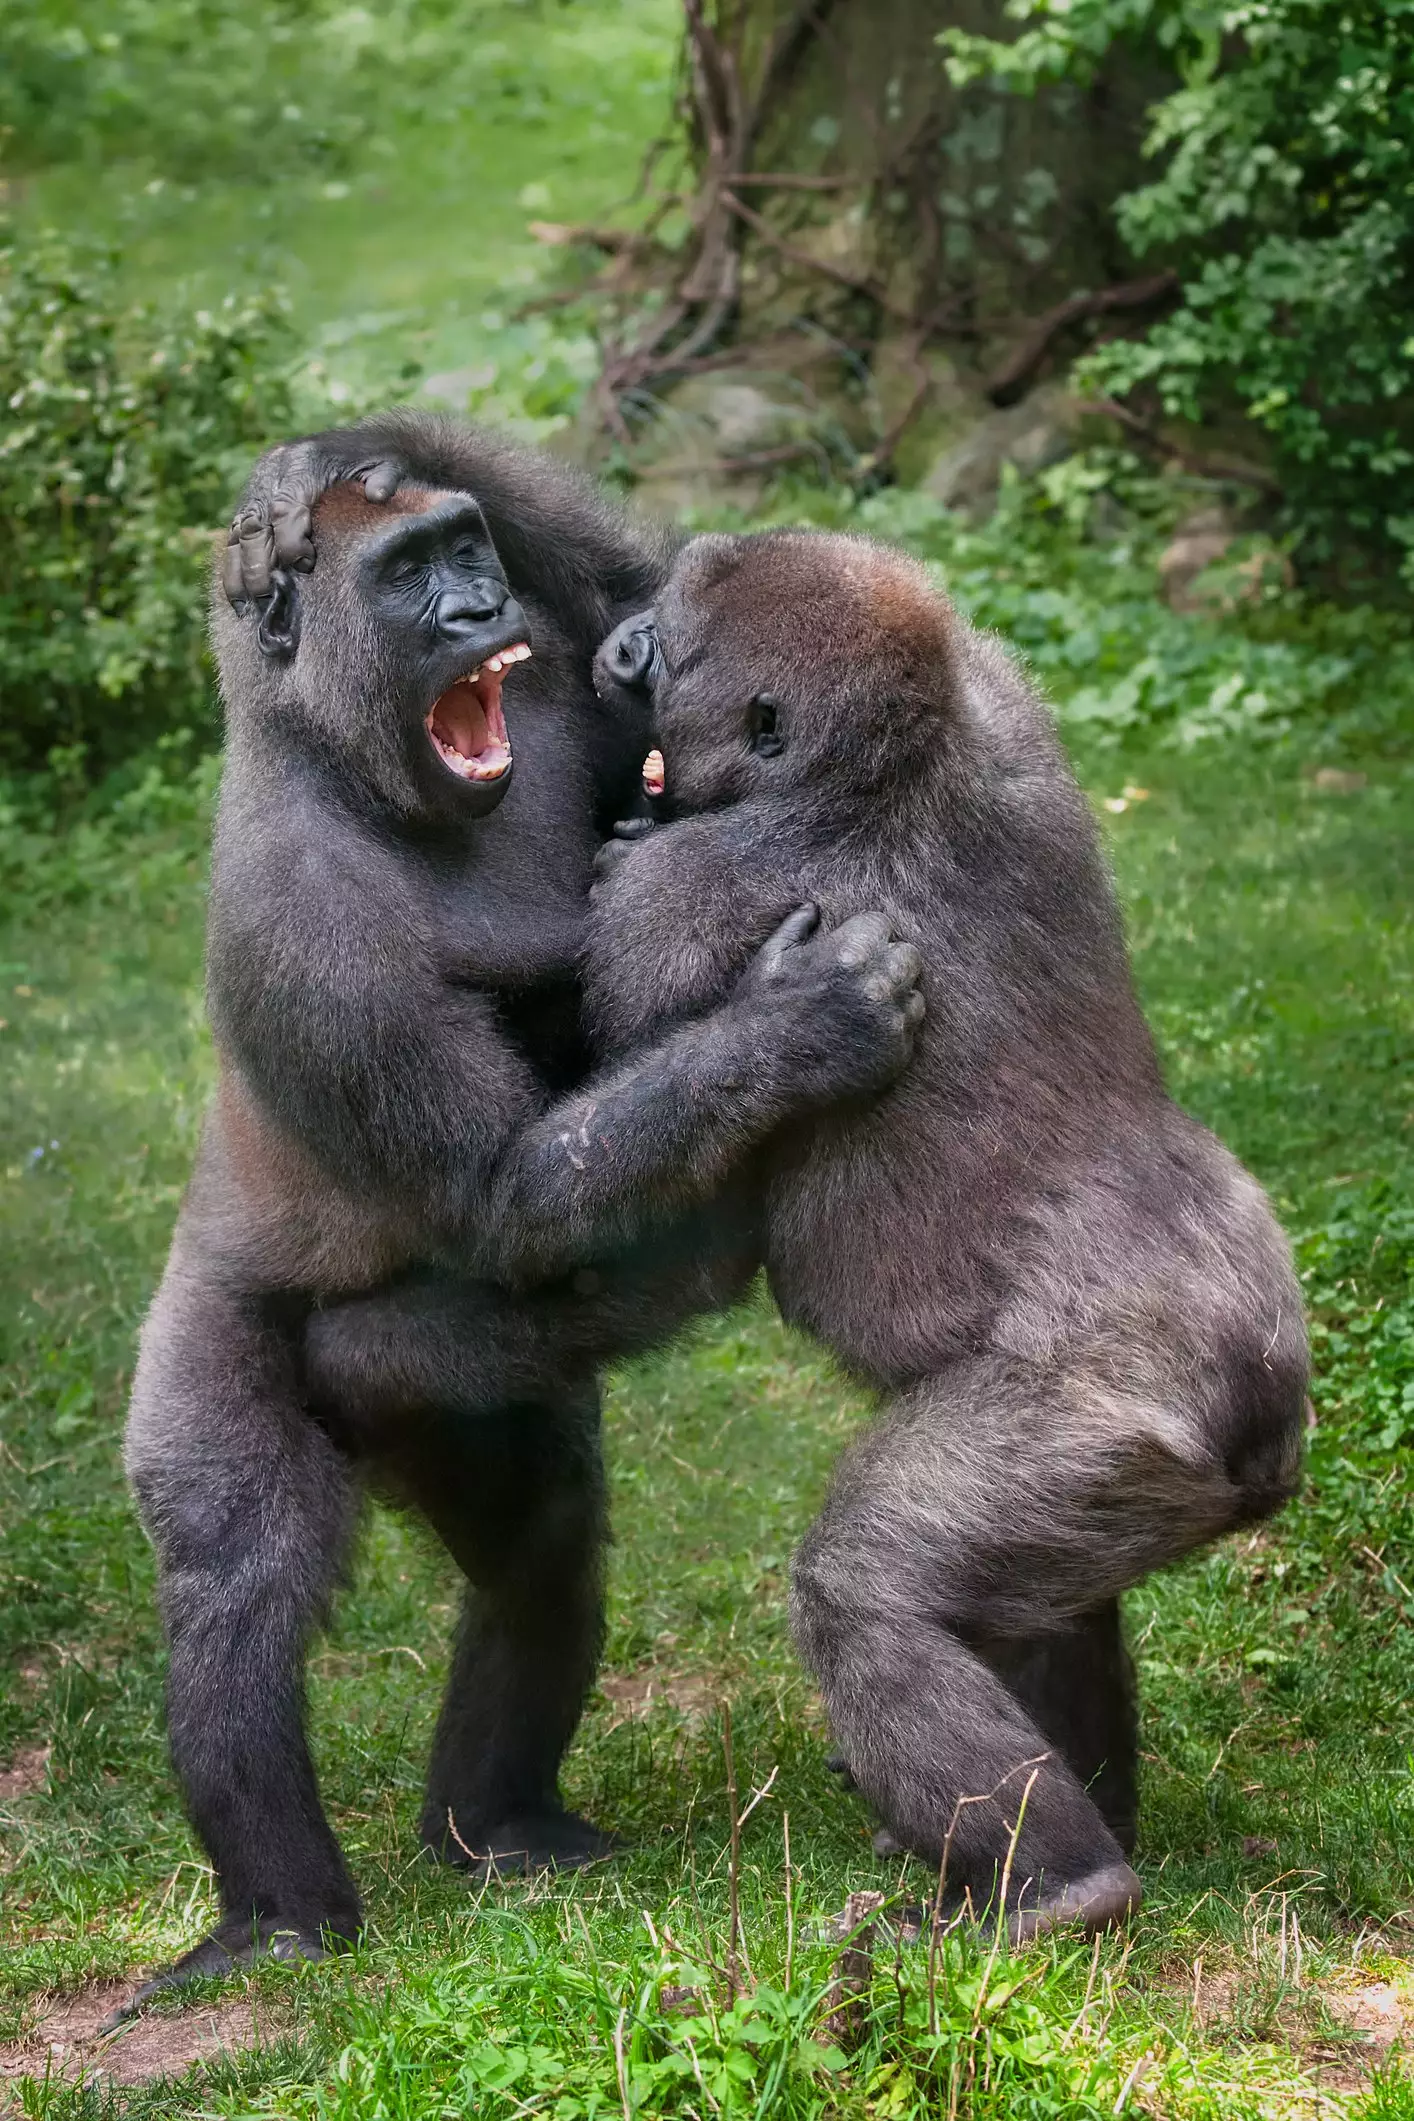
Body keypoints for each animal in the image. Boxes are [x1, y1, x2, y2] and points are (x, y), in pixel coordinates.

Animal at [119, 430, 925, 2010]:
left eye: (459, 548)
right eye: (403, 577)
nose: (474, 608)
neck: (334, 759)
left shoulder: (561, 691)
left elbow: (629, 603)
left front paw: (329, 457)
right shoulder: (305, 934)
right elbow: (502, 1187)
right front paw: (798, 1028)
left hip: (461, 1411)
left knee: (537, 1531)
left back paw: (496, 1819)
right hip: (214, 1315)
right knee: (236, 1580)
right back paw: (278, 1912)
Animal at [583, 528, 1309, 1942]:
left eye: (671, 651)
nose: (621, 640)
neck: (877, 770)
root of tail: (1264, 1406)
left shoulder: (686, 887)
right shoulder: (1004, 706)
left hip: (1108, 1414)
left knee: (869, 1592)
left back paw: (1059, 1889)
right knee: (1047, 1604)